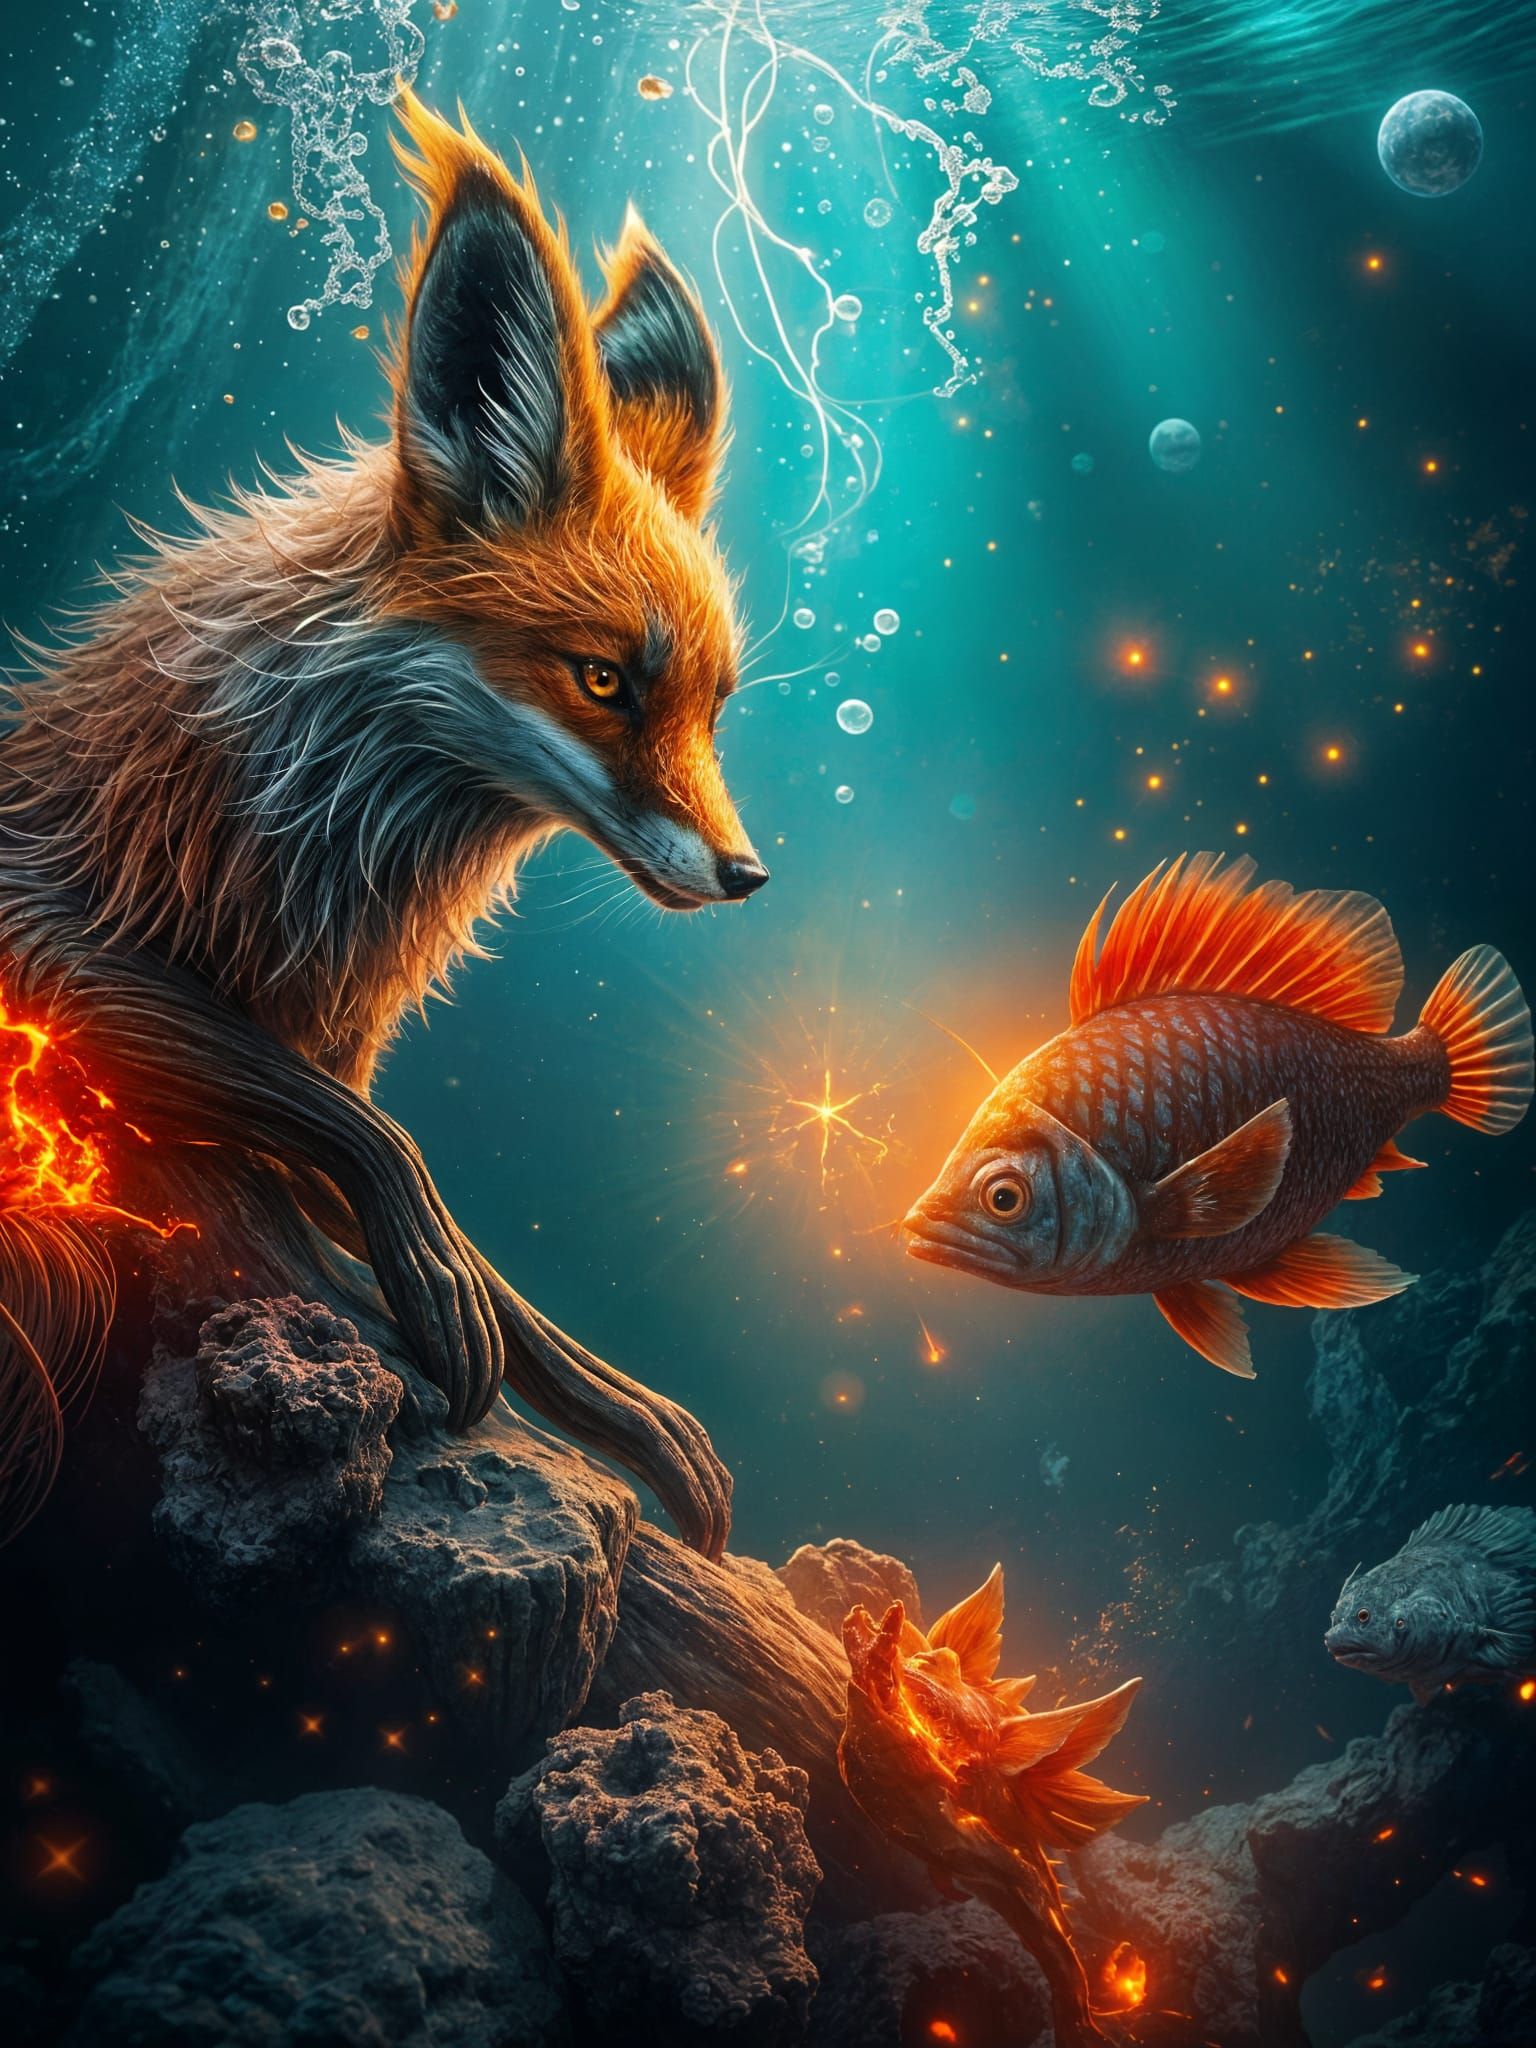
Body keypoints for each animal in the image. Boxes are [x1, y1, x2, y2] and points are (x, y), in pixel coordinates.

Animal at [0, 93, 762, 1555]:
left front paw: (627, 1416)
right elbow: (381, 1149)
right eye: (604, 682)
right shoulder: (48, 935)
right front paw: (440, 1298)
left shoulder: (320, 1041)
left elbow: (457, 1242)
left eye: (713, 704)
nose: (750, 875)